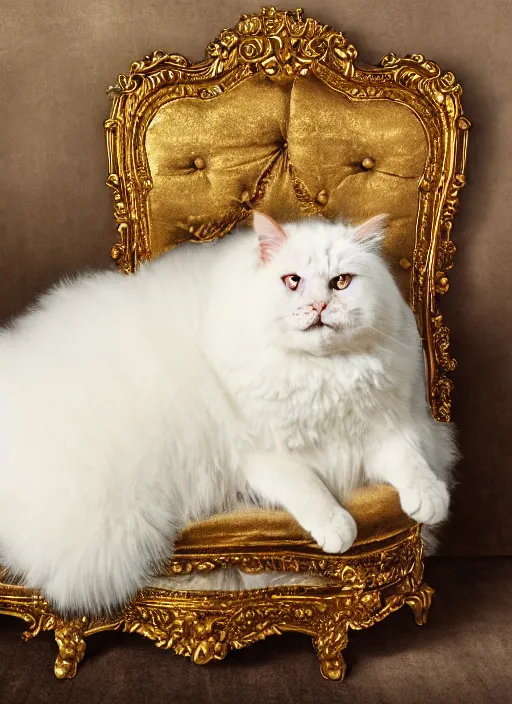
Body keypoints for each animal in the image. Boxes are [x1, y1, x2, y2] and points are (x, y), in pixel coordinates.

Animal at [0, 212, 456, 612]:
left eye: (341, 282)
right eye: (292, 281)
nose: (318, 307)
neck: (321, 374)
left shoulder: (385, 430)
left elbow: (411, 463)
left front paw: (431, 501)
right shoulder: (264, 459)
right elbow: (310, 489)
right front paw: (338, 529)